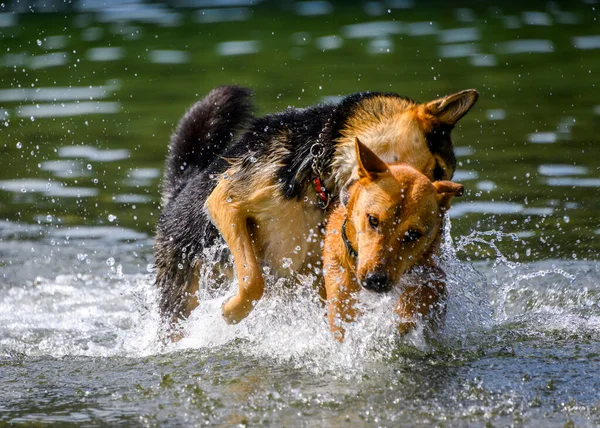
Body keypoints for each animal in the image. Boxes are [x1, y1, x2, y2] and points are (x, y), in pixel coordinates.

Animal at [324, 140, 464, 342]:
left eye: (413, 234)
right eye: (373, 220)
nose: (375, 279)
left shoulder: (433, 275)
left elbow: (424, 291)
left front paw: (403, 317)